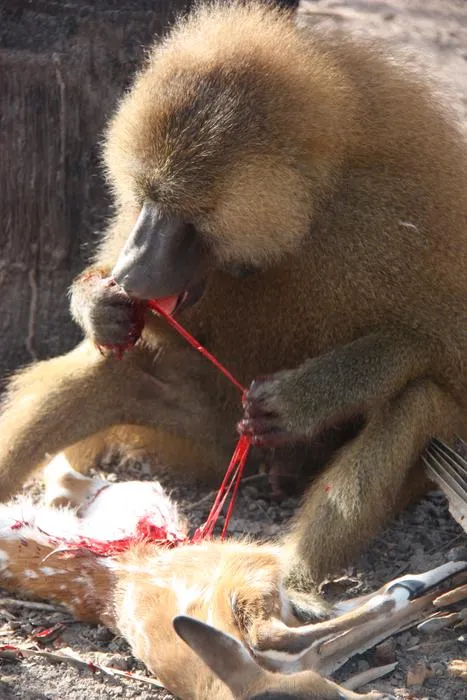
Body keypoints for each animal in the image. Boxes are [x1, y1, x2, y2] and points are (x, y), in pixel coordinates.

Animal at [0, 2, 465, 585]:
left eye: (186, 211)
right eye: (146, 198)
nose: (131, 272)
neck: (311, 211)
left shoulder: (398, 217)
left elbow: (441, 353)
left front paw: (303, 398)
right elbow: (137, 332)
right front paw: (100, 305)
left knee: (418, 399)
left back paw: (291, 577)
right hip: (209, 435)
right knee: (107, 370)